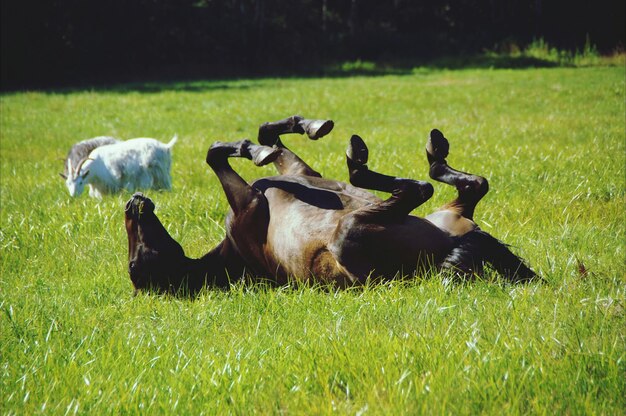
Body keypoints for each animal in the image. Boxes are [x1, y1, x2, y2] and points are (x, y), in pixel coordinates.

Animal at [123, 115, 536, 294]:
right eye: (134, 266)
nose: (132, 203)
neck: (234, 254)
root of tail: (449, 252)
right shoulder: (249, 203)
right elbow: (216, 154)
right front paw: (253, 150)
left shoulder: (299, 169)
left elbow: (266, 137)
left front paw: (302, 127)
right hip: (352, 232)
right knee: (418, 189)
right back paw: (362, 162)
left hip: (446, 215)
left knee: (471, 184)